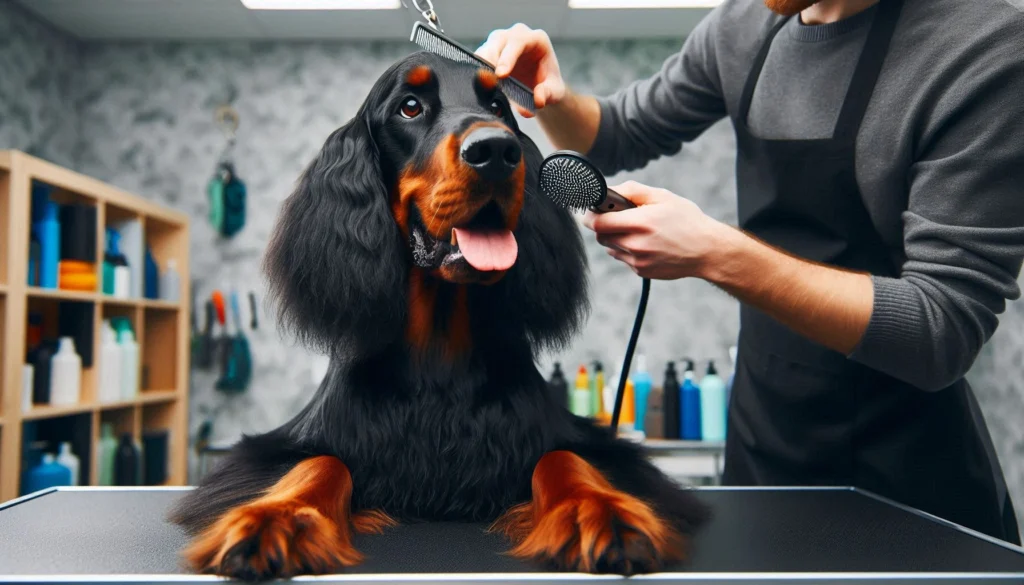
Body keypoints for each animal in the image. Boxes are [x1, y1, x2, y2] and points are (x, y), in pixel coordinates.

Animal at [169, 51, 712, 581]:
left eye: (499, 107)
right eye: (409, 107)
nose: (497, 151)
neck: (440, 346)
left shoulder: (597, 447)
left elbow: (565, 457)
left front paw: (598, 511)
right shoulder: (275, 450)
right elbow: (319, 462)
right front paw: (276, 519)